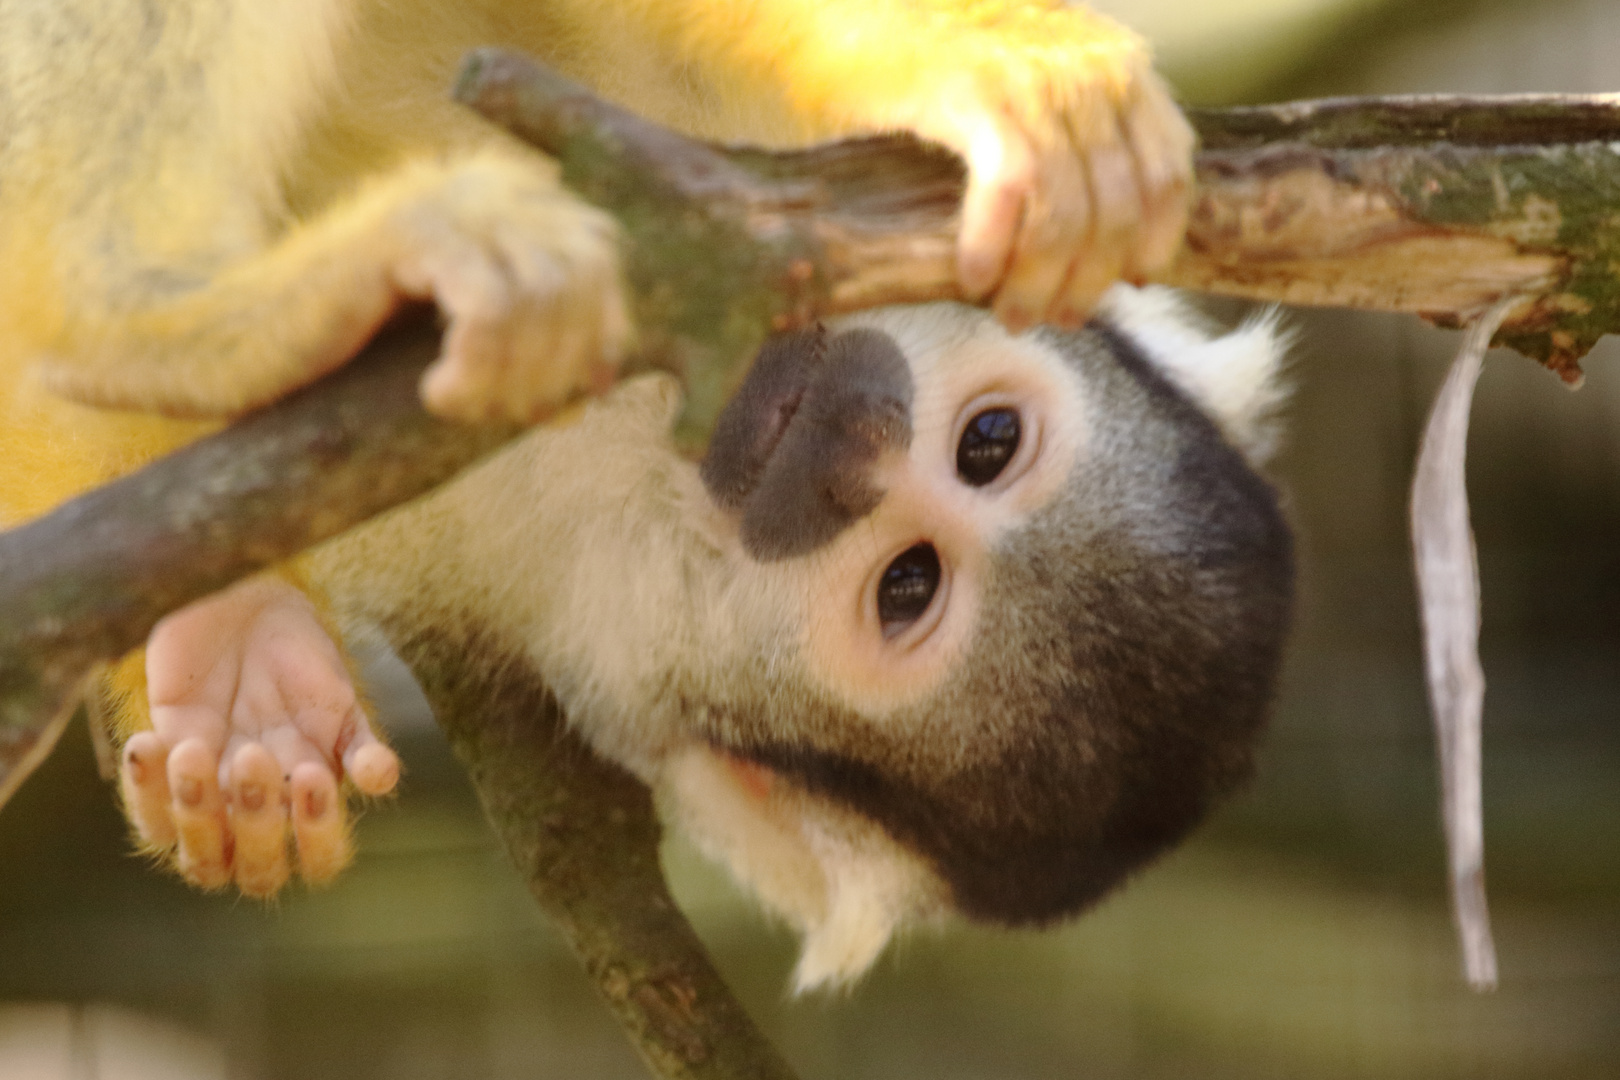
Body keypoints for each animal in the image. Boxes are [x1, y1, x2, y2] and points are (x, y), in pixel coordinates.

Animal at [0, 2, 1192, 906]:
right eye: (990, 441)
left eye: (905, 585)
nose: (857, 442)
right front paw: (983, 53)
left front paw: (241, 662)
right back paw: (136, 315)